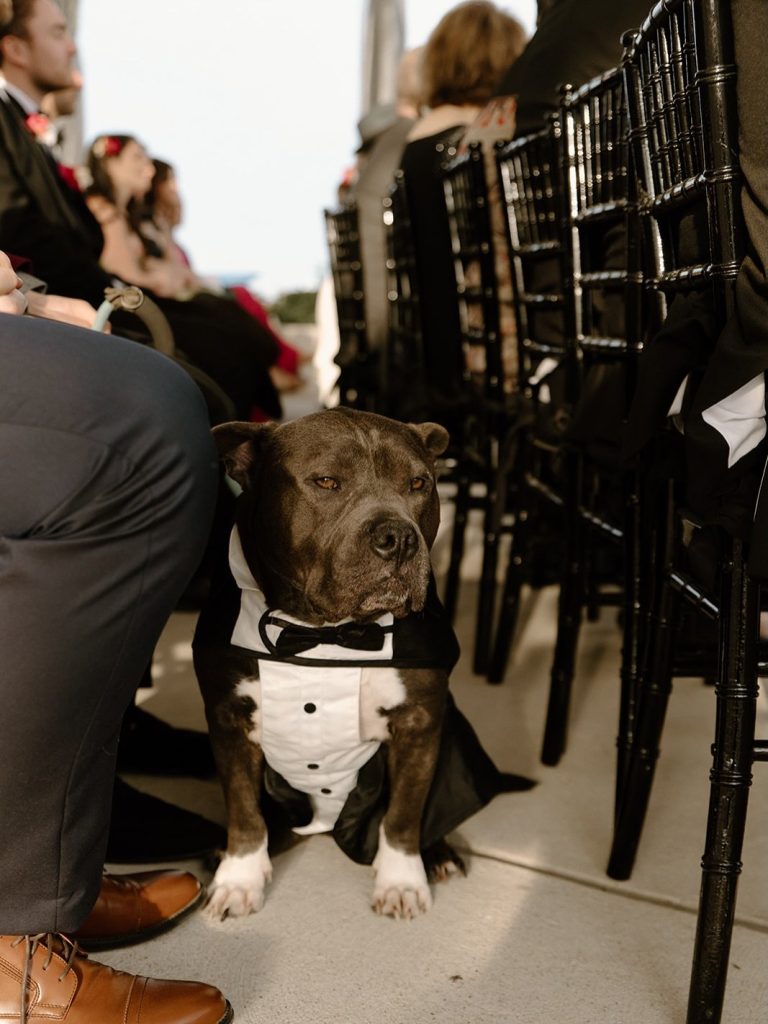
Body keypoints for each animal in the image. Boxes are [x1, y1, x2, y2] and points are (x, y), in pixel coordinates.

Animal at [194, 408, 530, 920]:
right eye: (326, 481)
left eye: (418, 483)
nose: (399, 538)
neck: (325, 634)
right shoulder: (228, 719)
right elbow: (244, 808)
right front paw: (239, 878)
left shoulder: (420, 723)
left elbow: (405, 813)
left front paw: (402, 881)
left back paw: (439, 854)